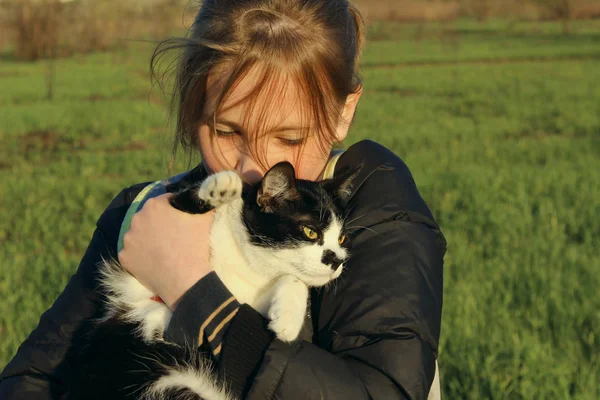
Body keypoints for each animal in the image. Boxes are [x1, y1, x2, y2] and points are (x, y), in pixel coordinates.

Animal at [65, 162, 356, 400]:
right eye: (310, 232)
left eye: (342, 238)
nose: (337, 260)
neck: (243, 259)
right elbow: (184, 199)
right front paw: (223, 185)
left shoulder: (248, 295)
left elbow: (293, 279)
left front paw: (287, 320)